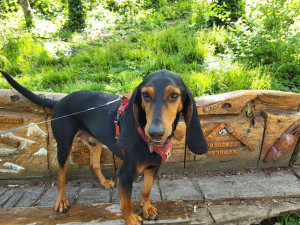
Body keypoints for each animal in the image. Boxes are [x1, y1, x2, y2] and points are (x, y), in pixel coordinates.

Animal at [0, 69, 207, 224]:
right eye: (145, 95)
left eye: (174, 95)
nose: (155, 132)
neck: (149, 144)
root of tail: (59, 101)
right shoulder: (125, 175)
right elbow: (126, 202)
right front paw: (131, 219)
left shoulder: (152, 168)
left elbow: (146, 190)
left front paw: (147, 208)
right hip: (64, 146)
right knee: (60, 176)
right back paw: (61, 201)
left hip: (94, 142)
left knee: (94, 164)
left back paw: (104, 182)